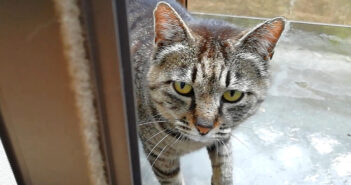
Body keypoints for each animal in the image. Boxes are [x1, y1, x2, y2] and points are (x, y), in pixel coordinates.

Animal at [129, 0, 286, 184]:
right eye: (182, 86)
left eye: (232, 95)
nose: (204, 128)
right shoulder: (159, 156)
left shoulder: (223, 136)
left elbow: (225, 168)